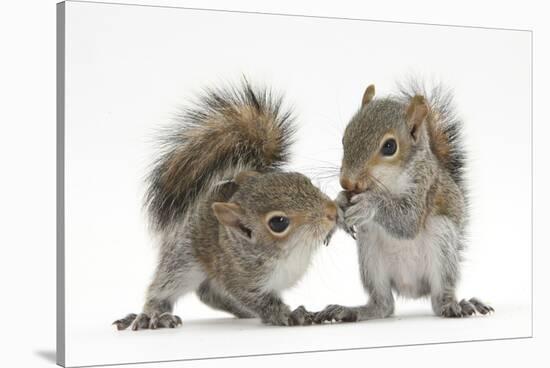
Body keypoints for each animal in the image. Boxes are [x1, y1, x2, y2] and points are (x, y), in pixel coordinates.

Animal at [113, 80, 338, 328]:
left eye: (303, 179)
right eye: (278, 223)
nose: (331, 212)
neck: (292, 253)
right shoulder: (239, 278)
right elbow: (262, 302)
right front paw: (287, 315)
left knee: (210, 293)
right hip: (183, 259)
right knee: (166, 288)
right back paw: (151, 315)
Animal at [314, 81, 496, 322]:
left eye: (389, 146)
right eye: (345, 138)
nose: (346, 181)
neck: (389, 180)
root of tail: (411, 288)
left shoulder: (424, 186)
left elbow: (407, 221)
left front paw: (368, 204)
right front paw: (340, 202)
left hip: (442, 242)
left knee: (439, 299)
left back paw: (456, 305)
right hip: (369, 252)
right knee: (383, 305)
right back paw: (350, 310)